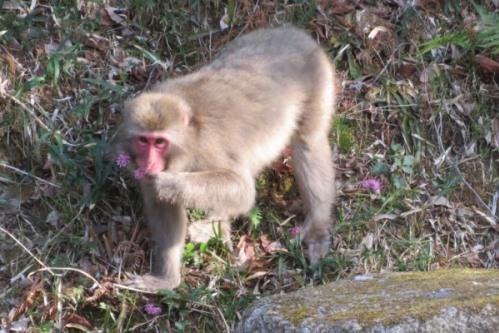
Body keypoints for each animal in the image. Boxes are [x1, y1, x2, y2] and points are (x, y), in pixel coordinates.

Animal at [116, 26, 336, 290]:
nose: (148, 162)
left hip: (318, 79)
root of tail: (293, 32)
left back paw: (317, 228)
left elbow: (242, 190)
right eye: (143, 140)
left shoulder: (208, 147)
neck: (189, 136)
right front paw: (166, 279)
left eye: (159, 142)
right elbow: (163, 205)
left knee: (308, 141)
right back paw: (217, 226)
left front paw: (170, 183)